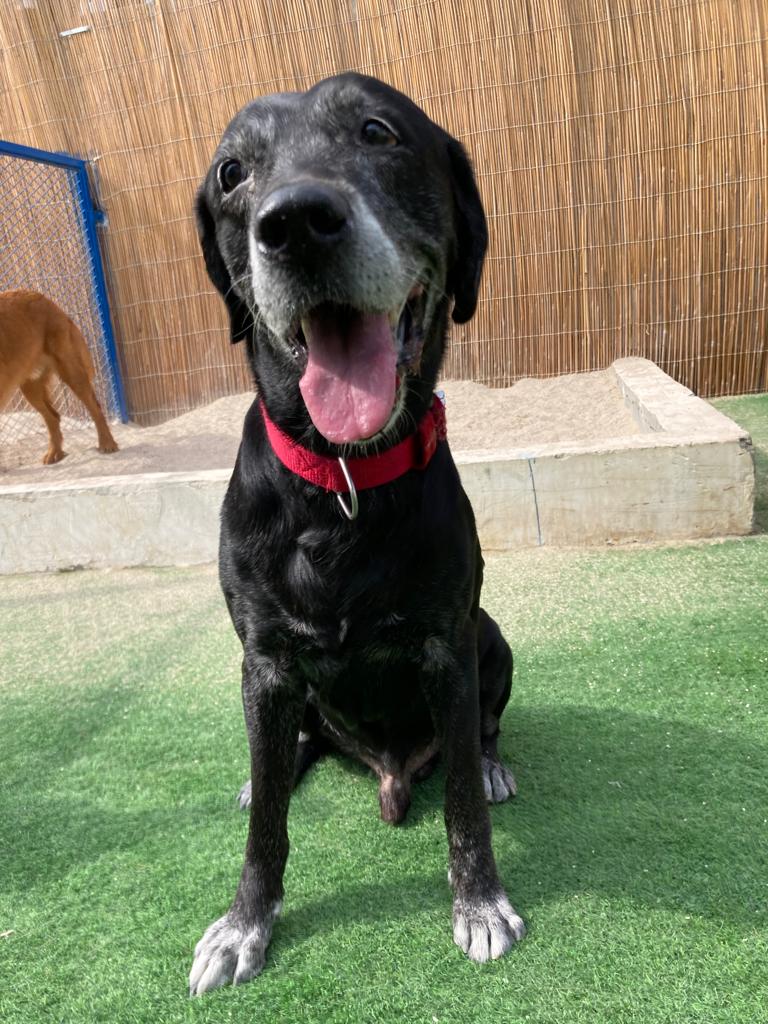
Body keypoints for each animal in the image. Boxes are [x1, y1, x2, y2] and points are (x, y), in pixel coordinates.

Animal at [0, 288, 118, 464]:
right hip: (31, 388)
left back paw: (107, 443)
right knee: (53, 417)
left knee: (95, 407)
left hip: (72, 372)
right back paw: (55, 452)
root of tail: (42, 297)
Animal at [189, 74, 528, 999]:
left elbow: (463, 804)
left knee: (479, 734)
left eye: (378, 130)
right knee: (288, 751)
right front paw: (245, 924)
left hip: (494, 638)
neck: (343, 480)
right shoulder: (266, 661)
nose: (296, 222)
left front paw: (480, 902)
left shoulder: (450, 647)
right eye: (232, 171)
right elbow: (267, 831)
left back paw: (492, 761)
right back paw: (265, 770)